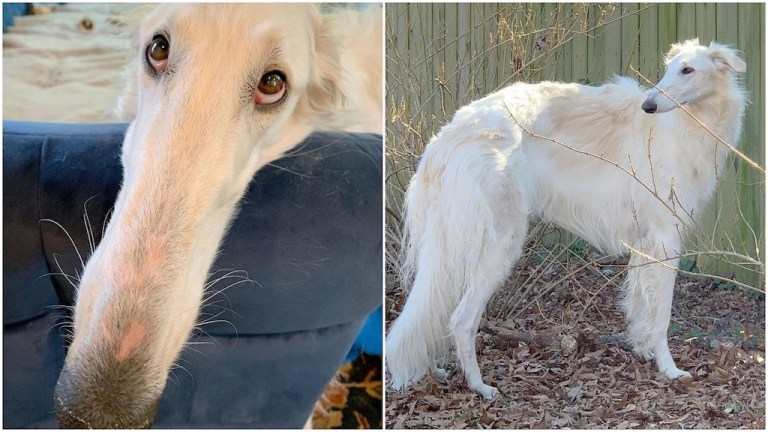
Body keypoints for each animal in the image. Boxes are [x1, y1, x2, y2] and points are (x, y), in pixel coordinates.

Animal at [388, 38, 748, 400]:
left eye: (688, 69)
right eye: (669, 69)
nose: (648, 105)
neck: (685, 123)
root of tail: (446, 138)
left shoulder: (645, 245)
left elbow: (640, 307)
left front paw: (644, 351)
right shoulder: (664, 238)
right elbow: (661, 316)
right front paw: (669, 369)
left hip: (448, 249)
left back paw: (435, 370)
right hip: (499, 244)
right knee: (460, 321)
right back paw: (480, 386)